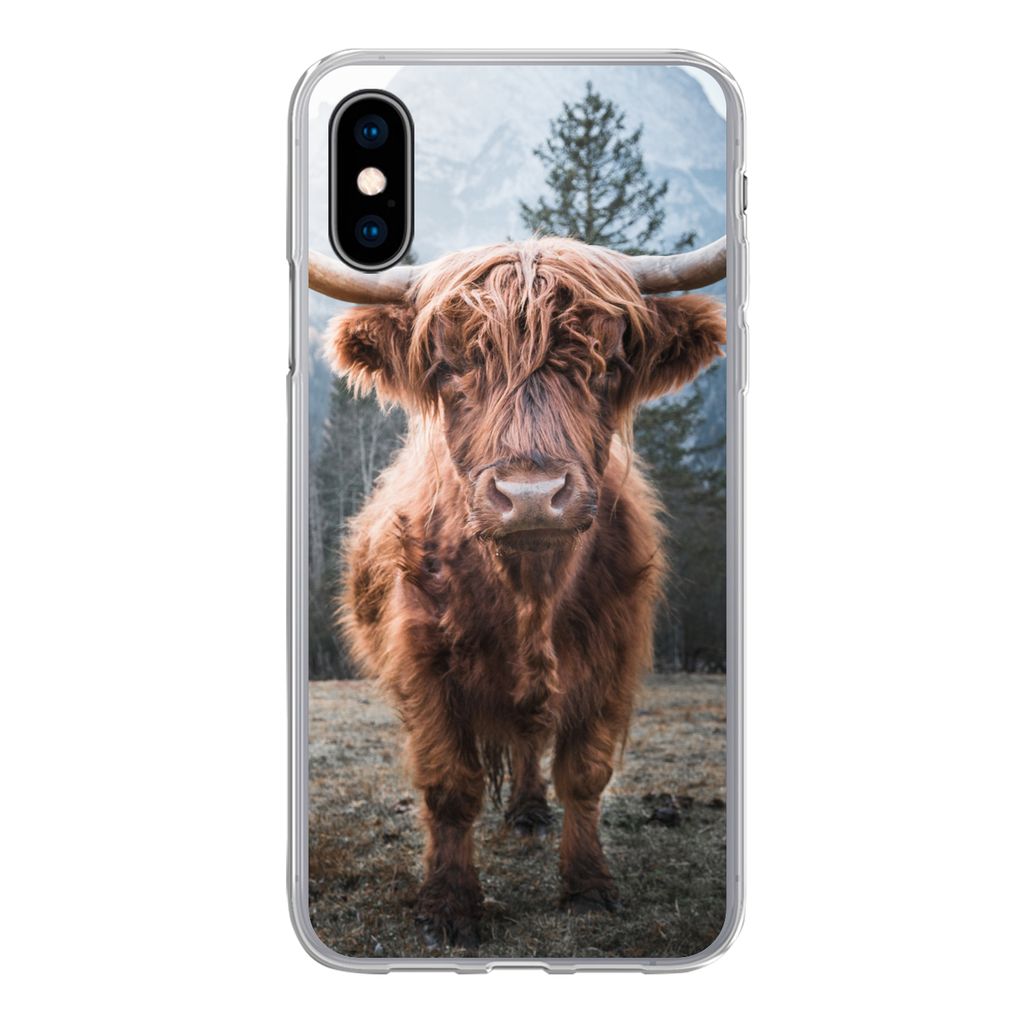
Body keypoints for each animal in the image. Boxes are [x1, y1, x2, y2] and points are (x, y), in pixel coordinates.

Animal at [308, 235, 727, 949]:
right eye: (450, 365)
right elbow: (450, 784)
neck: (530, 591)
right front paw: (450, 905)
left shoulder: (613, 657)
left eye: (607, 361)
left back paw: (531, 811)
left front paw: (588, 886)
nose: (531, 496)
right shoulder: (423, 665)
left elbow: (584, 775)